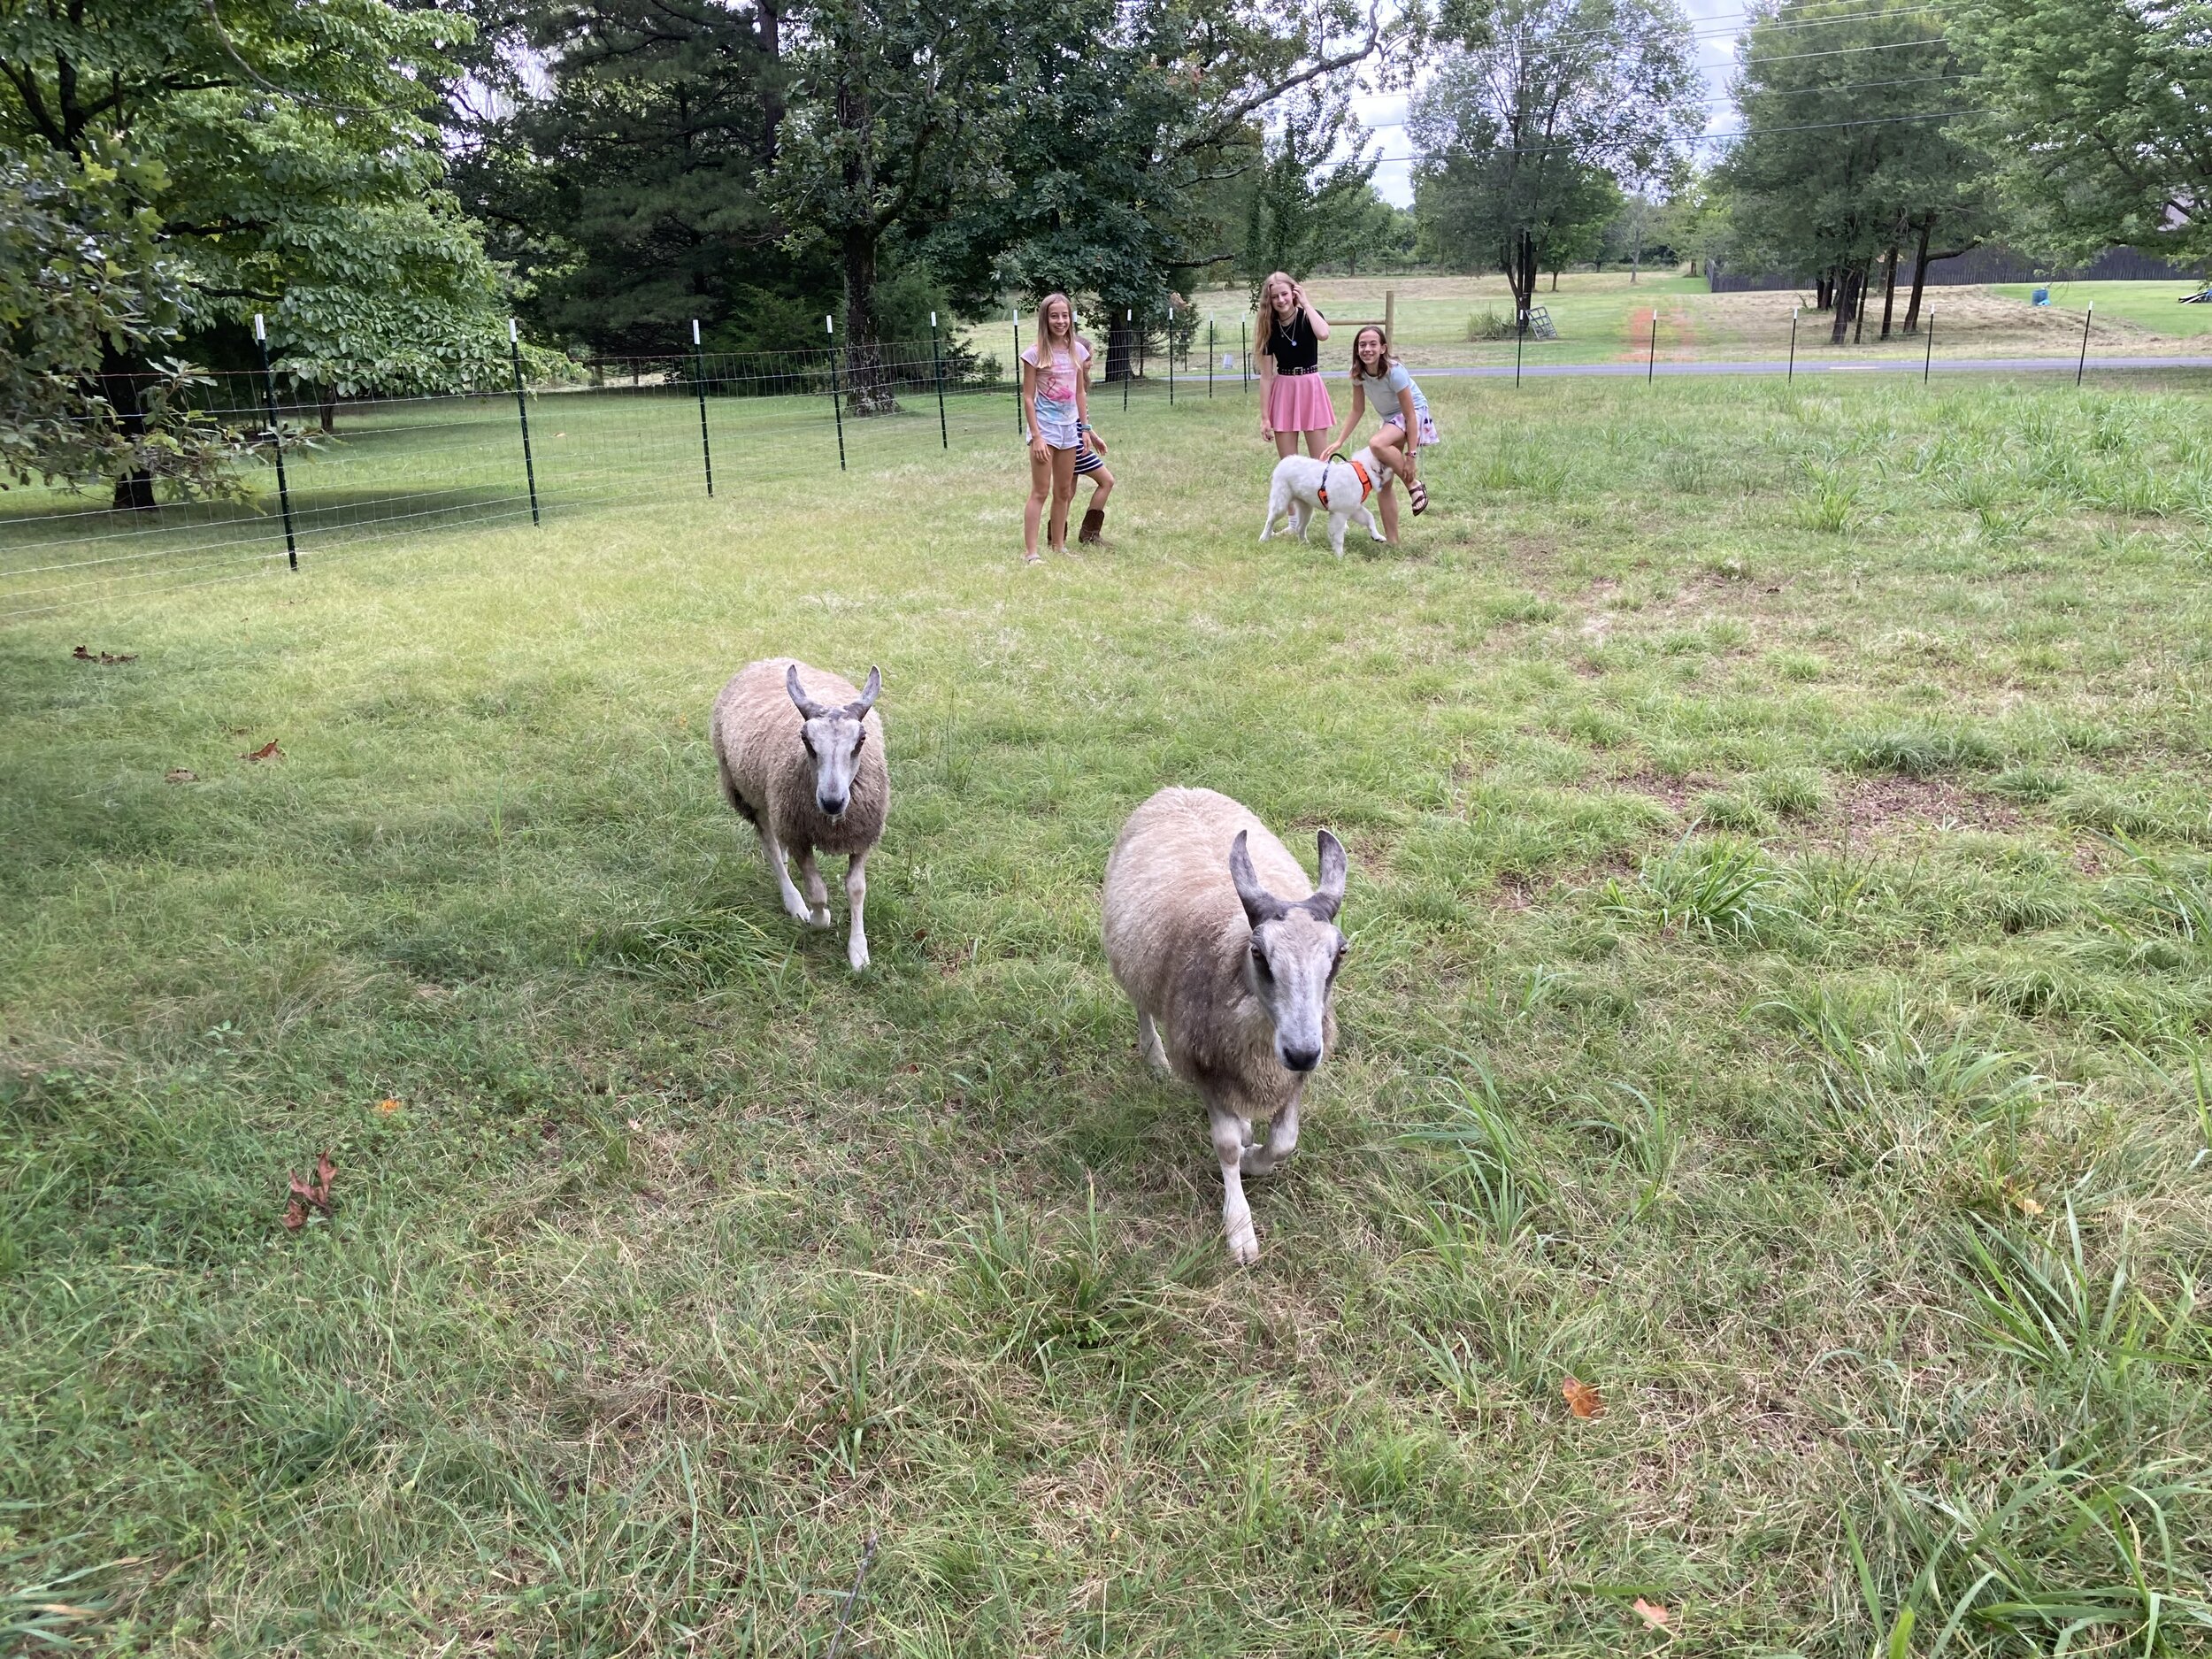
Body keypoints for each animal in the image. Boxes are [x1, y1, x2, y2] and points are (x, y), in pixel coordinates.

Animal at [708, 659, 880, 973]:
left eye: (861, 740)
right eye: (805, 740)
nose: (833, 802)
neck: (832, 822)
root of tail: (769, 659)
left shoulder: (862, 835)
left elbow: (857, 889)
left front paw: (859, 952)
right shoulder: (799, 836)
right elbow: (817, 892)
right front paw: (817, 918)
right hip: (752, 798)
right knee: (772, 852)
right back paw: (794, 903)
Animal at [1102, 787, 1345, 1265]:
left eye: (1340, 952)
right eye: (1258, 952)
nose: (1302, 1051)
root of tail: (1179, 789)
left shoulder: (1292, 1077)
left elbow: (1284, 1141)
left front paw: (1256, 1159)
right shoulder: (1206, 1069)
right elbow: (1227, 1147)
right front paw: (1240, 1229)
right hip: (1133, 964)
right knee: (1141, 1006)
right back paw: (1154, 1059)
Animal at [1265, 449, 1398, 559]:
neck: (1363, 472)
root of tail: (1284, 461)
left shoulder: (1354, 509)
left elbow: (1370, 518)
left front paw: (1377, 536)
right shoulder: (1340, 514)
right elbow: (1338, 538)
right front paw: (1340, 557)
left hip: (1307, 509)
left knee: (1299, 528)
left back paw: (1305, 544)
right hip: (1281, 505)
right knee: (1270, 521)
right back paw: (1264, 539)